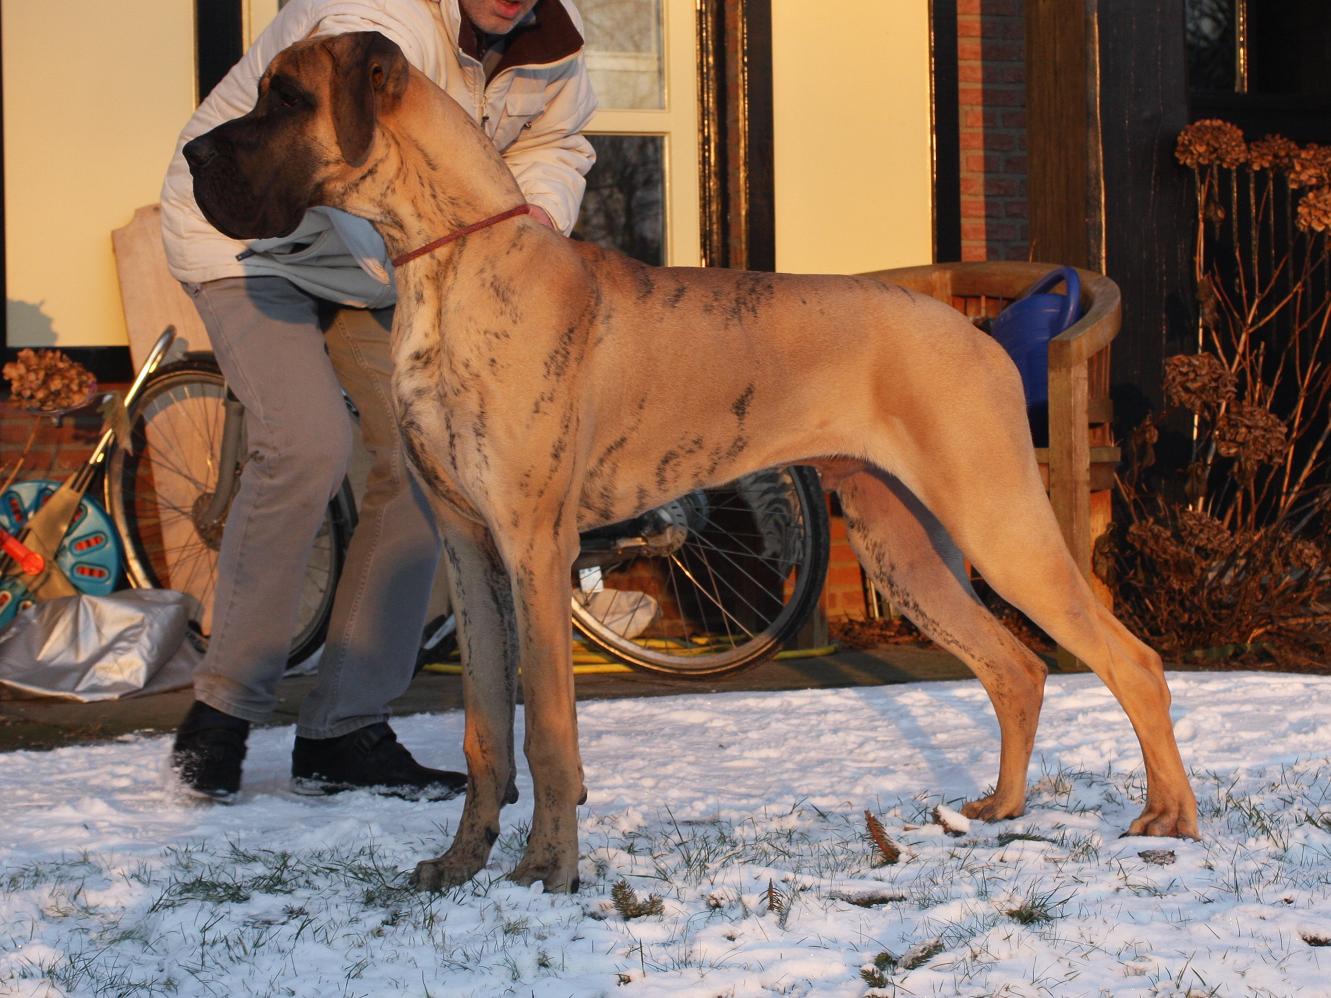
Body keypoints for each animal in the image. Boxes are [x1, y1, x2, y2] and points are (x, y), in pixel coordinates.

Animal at [184, 31, 1199, 893]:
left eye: (285, 97)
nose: (192, 155)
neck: (451, 262)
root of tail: (981, 335)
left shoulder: (533, 547)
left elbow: (547, 729)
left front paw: (548, 872)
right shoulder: (469, 550)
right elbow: (484, 732)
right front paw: (462, 865)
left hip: (995, 520)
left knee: (1131, 659)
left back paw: (1169, 820)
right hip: (900, 544)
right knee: (1015, 669)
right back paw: (1001, 809)